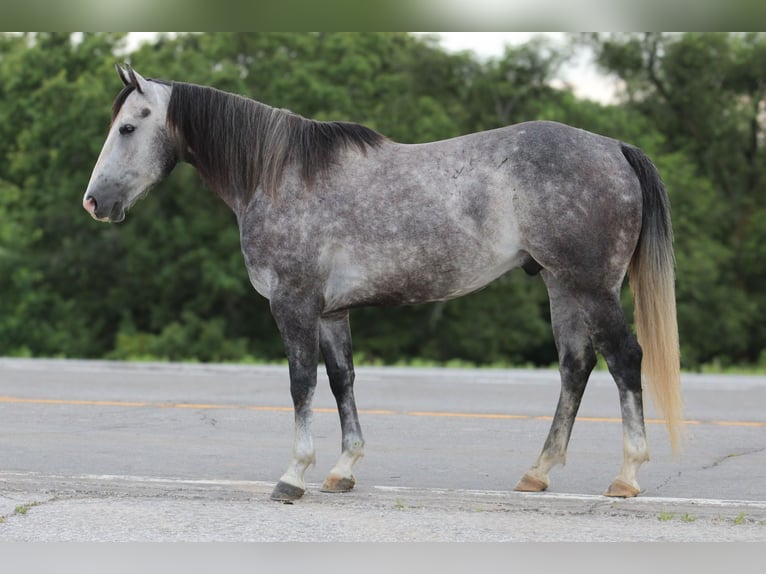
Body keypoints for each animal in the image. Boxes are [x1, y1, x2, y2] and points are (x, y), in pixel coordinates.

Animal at [84, 65, 684, 502]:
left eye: (128, 128)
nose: (94, 202)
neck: (278, 175)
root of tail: (614, 148)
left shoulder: (293, 304)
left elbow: (301, 383)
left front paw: (294, 476)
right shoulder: (331, 312)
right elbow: (341, 381)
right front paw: (342, 469)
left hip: (592, 287)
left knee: (625, 359)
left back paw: (627, 476)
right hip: (562, 285)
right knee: (575, 367)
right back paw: (537, 472)